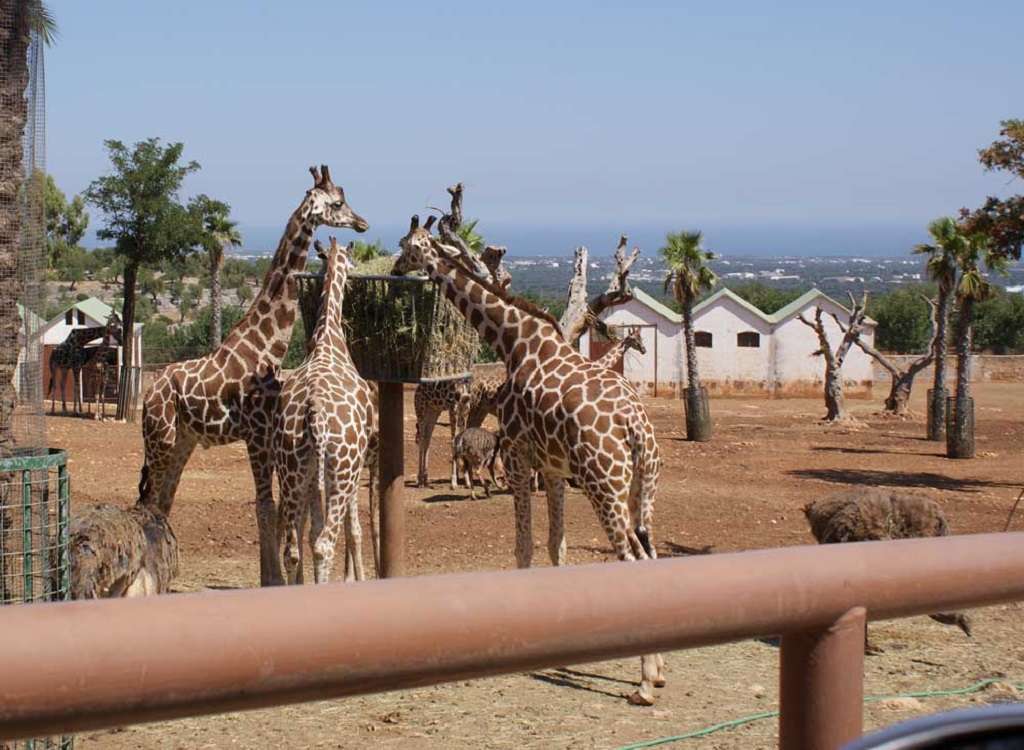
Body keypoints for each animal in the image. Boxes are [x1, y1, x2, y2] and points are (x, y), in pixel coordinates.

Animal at [274, 239, 378, 586]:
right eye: (353, 258)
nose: (355, 271)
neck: (328, 338)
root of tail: (314, 413)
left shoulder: (310, 475)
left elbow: (309, 534)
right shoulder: (355, 468)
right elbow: (354, 531)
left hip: (292, 469)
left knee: (293, 548)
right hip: (342, 471)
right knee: (324, 543)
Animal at [391, 214, 663, 704]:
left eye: (409, 245)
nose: (397, 267)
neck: (514, 342)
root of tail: (637, 429)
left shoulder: (519, 457)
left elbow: (523, 546)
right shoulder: (553, 469)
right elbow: (556, 546)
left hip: (603, 484)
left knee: (633, 560)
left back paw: (646, 681)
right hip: (639, 488)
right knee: (651, 554)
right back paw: (661, 666)